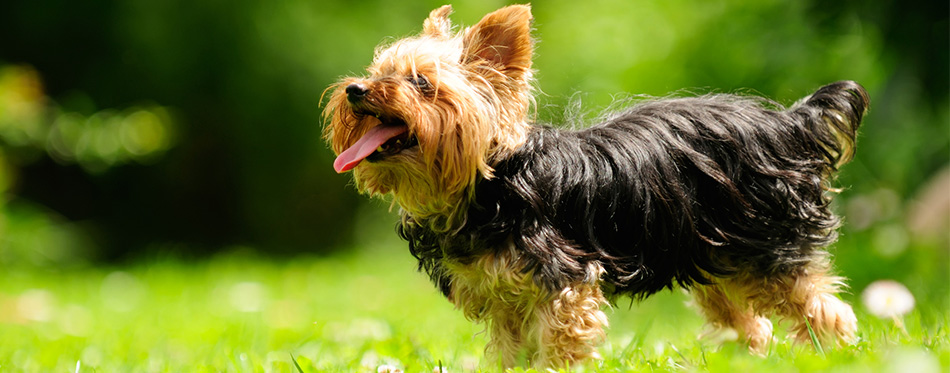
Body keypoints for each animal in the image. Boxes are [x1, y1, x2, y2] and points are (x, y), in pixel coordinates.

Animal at [326, 4, 872, 368]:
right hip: (714, 257)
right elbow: (510, 352)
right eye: (377, 73)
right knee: (750, 325)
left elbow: (560, 346)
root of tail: (789, 122)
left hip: (768, 247)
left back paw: (835, 354)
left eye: (421, 83)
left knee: (826, 311)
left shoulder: (564, 285)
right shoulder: (504, 299)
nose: (355, 90)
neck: (487, 185)